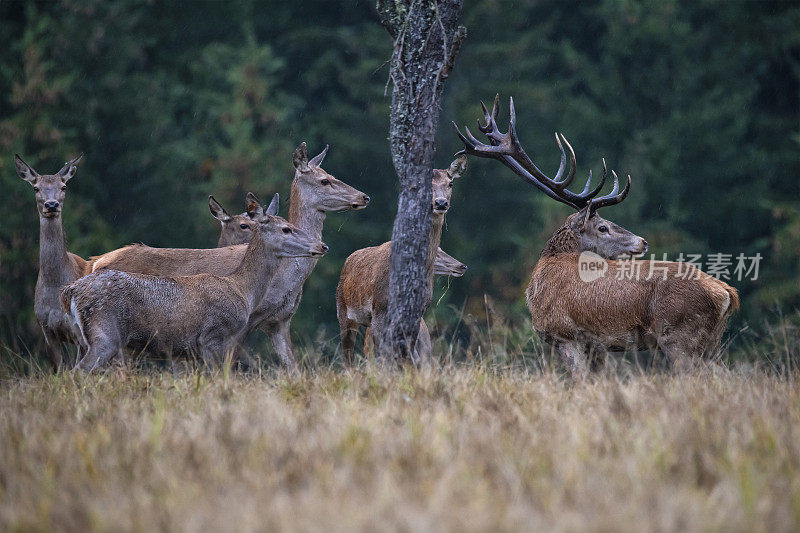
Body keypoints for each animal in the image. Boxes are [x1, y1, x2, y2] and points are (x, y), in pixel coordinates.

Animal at [16, 154, 88, 370]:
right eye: (35, 187)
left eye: (64, 186)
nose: (51, 205)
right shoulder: (47, 331)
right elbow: (58, 370)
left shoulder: (79, 333)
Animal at [60, 193, 328, 372]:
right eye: (286, 228)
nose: (322, 245)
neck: (242, 289)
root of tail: (71, 291)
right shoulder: (212, 336)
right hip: (106, 335)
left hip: (83, 337)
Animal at [86, 142, 368, 370]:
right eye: (324, 180)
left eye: (332, 175)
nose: (364, 196)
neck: (285, 279)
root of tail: (94, 263)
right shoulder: (239, 323)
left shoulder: (280, 320)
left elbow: (294, 369)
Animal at [336, 154, 468, 362]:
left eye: (451, 183)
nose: (440, 203)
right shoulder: (380, 308)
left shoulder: (417, 312)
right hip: (343, 311)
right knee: (349, 354)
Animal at [456, 96, 736, 378]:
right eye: (602, 227)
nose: (643, 241)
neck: (538, 284)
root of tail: (727, 293)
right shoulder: (595, 345)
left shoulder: (567, 334)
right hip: (711, 344)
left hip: (680, 337)